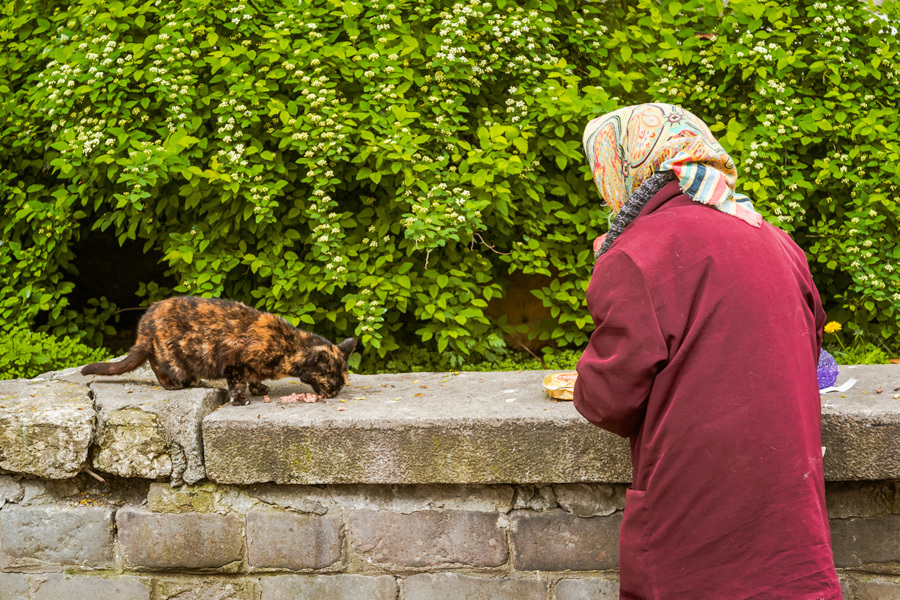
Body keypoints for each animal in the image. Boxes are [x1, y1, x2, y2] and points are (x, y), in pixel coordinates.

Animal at [80, 296, 356, 406]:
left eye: (342, 382)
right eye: (332, 381)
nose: (335, 392)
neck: (288, 346)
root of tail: (144, 324)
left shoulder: (252, 367)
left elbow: (254, 378)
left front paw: (259, 388)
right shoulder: (235, 362)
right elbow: (238, 382)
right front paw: (241, 399)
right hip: (170, 355)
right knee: (158, 366)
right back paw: (175, 384)